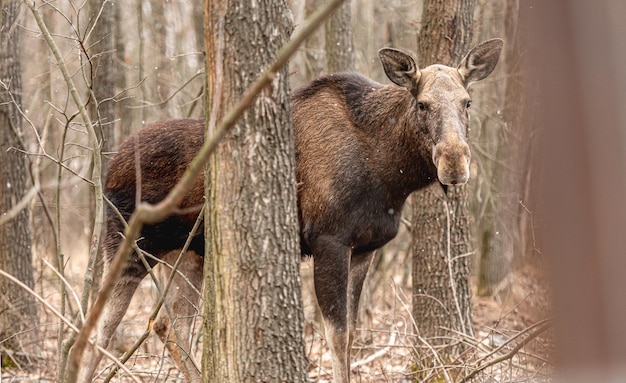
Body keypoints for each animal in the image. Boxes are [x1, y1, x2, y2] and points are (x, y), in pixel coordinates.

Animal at [74, 39, 502, 383]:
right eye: (422, 103)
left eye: (467, 102)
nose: (454, 162)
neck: (390, 175)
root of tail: (109, 164)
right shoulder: (328, 241)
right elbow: (337, 335)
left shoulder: (365, 249)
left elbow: (349, 336)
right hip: (126, 244)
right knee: (99, 329)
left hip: (189, 254)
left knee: (166, 324)